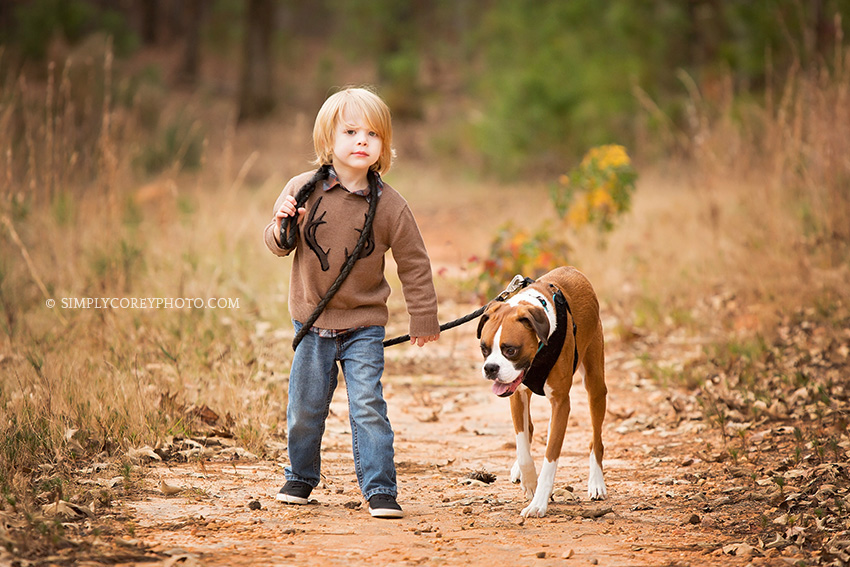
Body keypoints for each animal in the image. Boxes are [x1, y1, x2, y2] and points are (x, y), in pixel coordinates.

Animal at [476, 266, 604, 520]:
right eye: (484, 349)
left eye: (510, 350)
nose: (490, 368)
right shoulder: (517, 396)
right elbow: (523, 447)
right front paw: (529, 481)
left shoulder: (561, 403)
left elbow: (550, 457)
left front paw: (538, 503)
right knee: (529, 430)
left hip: (595, 386)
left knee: (596, 441)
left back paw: (596, 482)